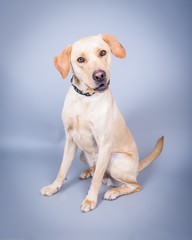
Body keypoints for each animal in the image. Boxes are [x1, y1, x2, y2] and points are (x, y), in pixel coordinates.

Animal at [40, 33, 164, 212]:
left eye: (103, 53)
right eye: (80, 59)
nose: (100, 75)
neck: (85, 98)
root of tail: (136, 168)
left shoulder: (104, 144)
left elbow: (97, 179)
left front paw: (90, 200)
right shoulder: (70, 139)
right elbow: (63, 168)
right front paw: (54, 187)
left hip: (115, 158)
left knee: (133, 184)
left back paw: (113, 191)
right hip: (83, 155)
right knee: (98, 170)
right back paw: (88, 171)